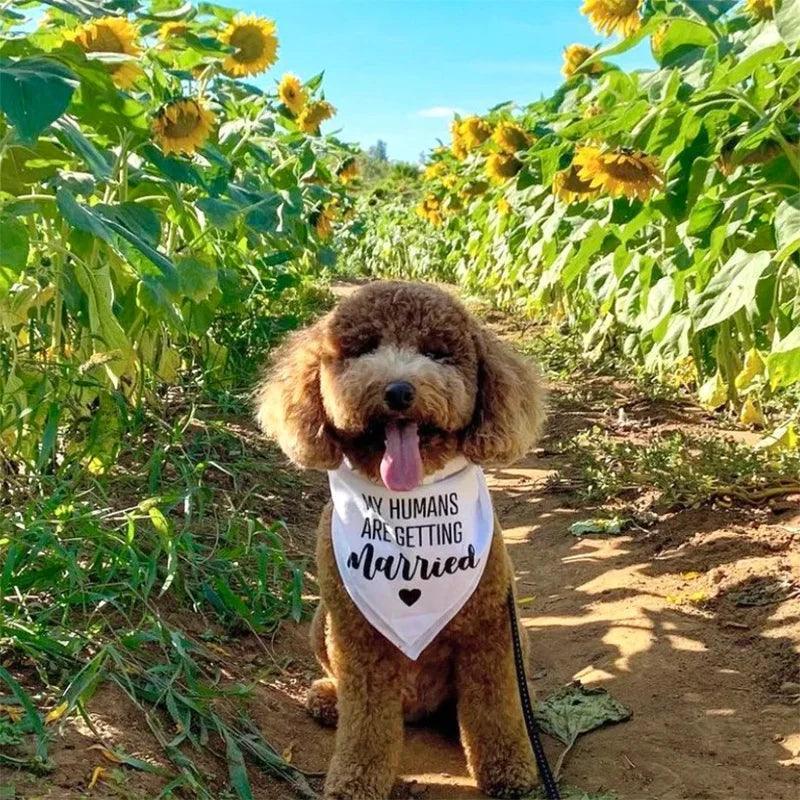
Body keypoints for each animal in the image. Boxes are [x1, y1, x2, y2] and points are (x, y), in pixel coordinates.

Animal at [256, 282, 544, 800]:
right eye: (364, 348)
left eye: (437, 353)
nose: (398, 391)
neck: (409, 503)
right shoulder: (357, 639)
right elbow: (365, 727)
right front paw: (353, 782)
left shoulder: (489, 630)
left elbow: (496, 710)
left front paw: (511, 773)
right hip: (321, 624)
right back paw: (328, 699)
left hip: (519, 637)